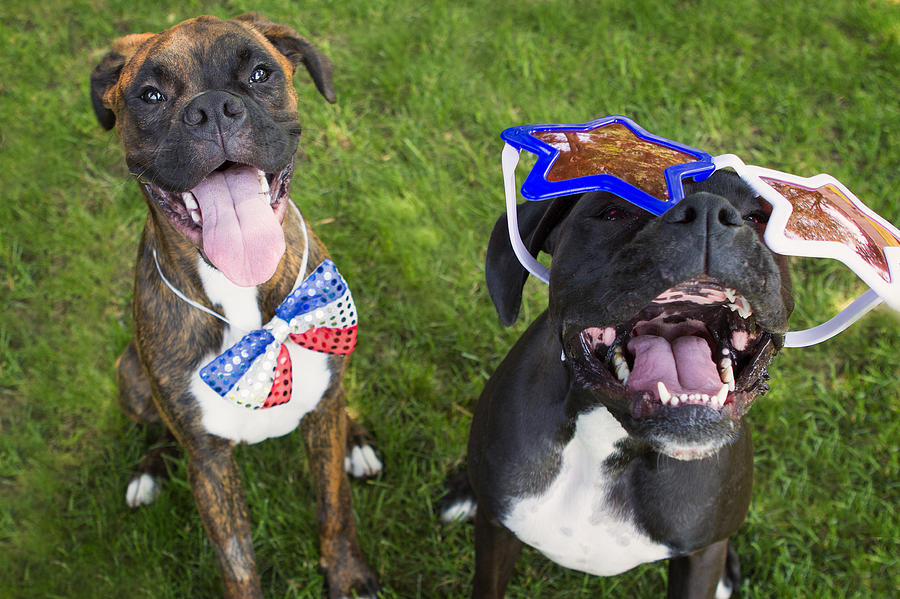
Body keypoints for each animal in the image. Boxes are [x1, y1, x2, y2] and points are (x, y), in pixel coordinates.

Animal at [93, 14, 382, 599]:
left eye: (259, 72)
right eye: (150, 95)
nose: (211, 109)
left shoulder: (322, 419)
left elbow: (334, 507)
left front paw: (347, 574)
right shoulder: (208, 462)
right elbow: (237, 560)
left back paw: (358, 442)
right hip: (129, 378)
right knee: (157, 428)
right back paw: (147, 471)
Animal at [442, 170, 796, 599]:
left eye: (758, 218)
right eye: (613, 212)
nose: (708, 213)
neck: (611, 440)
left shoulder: (700, 557)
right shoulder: (497, 531)